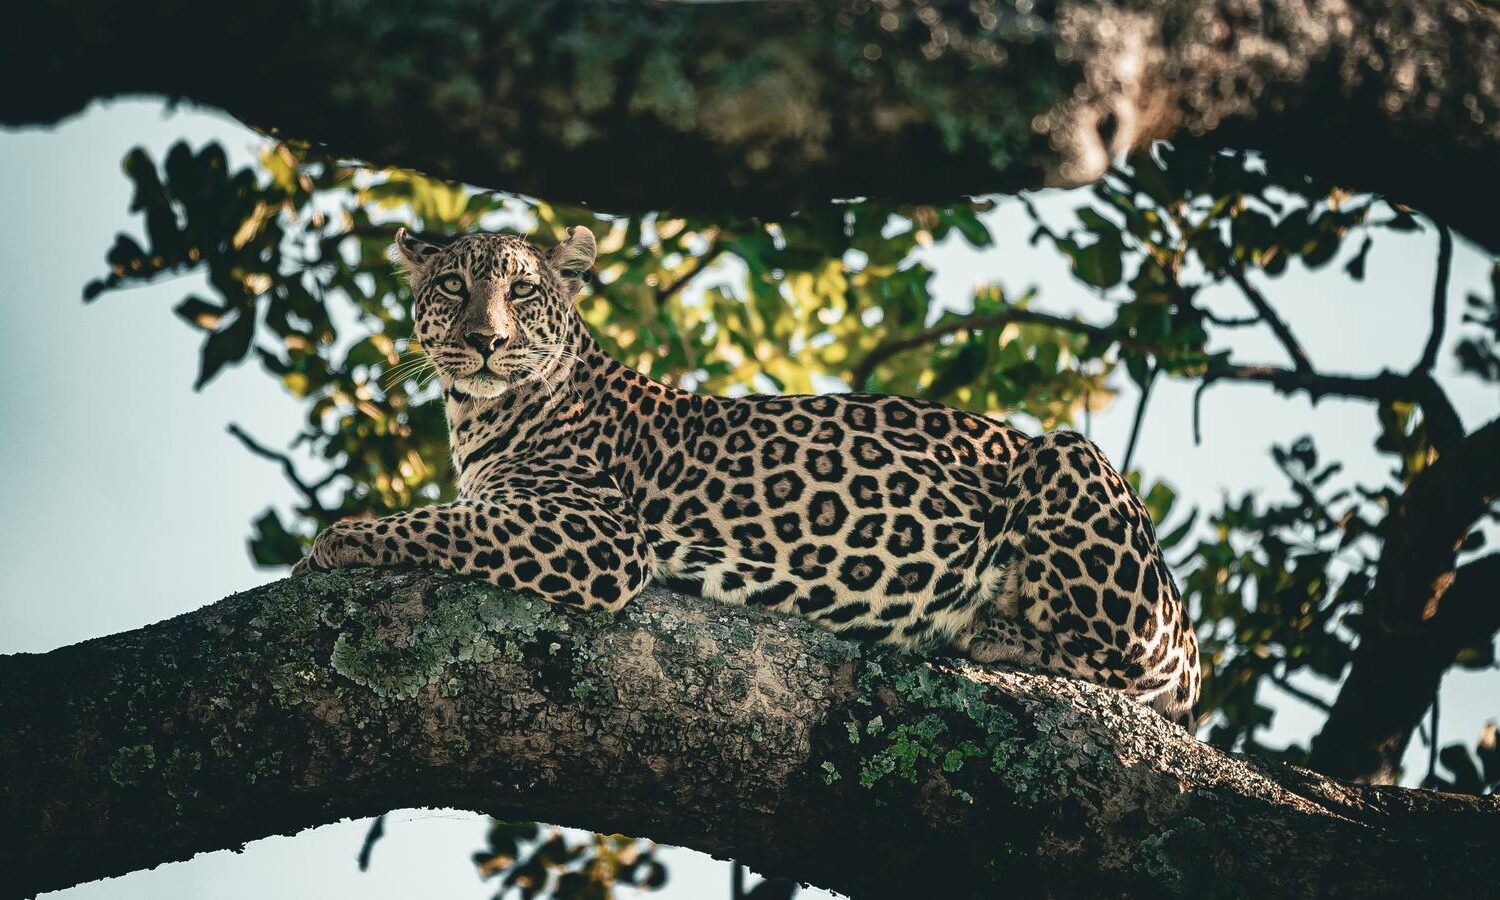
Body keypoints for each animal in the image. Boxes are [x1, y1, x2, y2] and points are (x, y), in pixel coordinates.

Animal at [295, 226, 1202, 725]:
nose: (485, 341)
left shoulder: (597, 535)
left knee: (1126, 664)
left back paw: (979, 624)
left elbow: (449, 521)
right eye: (453, 287)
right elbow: (459, 515)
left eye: (521, 292)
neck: (481, 416)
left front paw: (338, 539)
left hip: (1068, 461)